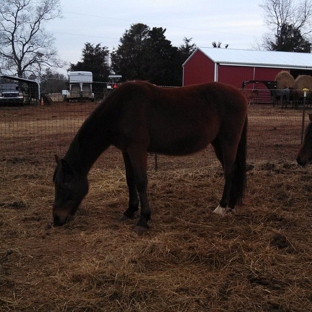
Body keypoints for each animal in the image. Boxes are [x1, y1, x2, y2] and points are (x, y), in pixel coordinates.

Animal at [54, 80, 249, 234]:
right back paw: (231, 205)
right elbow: (130, 179)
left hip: (228, 141)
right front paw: (130, 211)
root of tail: (241, 96)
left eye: (65, 184)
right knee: (233, 170)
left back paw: (221, 207)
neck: (121, 109)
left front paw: (143, 220)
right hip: (218, 144)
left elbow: (141, 181)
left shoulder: (137, 149)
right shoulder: (126, 150)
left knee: (229, 172)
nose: (56, 220)